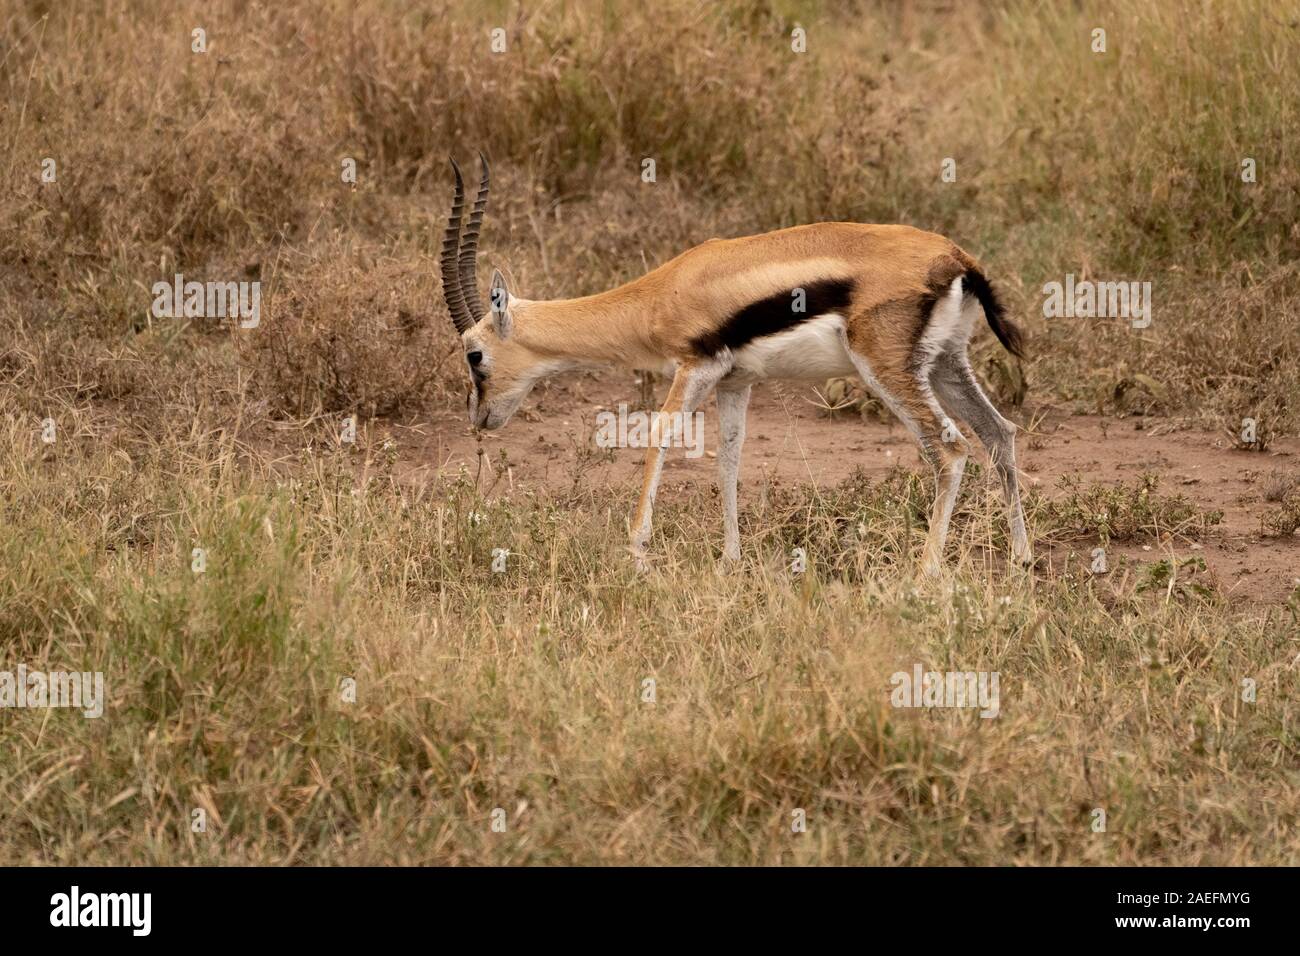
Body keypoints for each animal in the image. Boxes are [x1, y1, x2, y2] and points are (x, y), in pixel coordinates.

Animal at [440, 155, 1031, 574]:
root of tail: (956, 259)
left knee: (951, 450)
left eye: (474, 355)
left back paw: (924, 573)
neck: (662, 294)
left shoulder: (694, 368)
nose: (479, 418)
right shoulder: (735, 383)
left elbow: (658, 437)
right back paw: (1021, 560)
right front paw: (730, 559)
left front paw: (636, 552)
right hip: (944, 365)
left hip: (887, 370)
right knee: (998, 432)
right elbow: (728, 459)